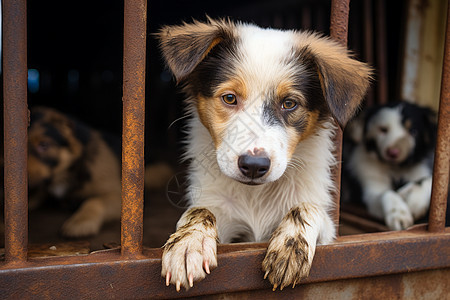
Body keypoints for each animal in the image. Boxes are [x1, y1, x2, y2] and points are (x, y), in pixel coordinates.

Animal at [156, 18, 370, 290]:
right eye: (229, 98)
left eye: (289, 103)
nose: (254, 165)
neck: (255, 196)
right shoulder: (221, 212)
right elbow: (201, 210)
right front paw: (188, 244)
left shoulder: (330, 230)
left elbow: (307, 207)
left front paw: (290, 247)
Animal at [342, 101, 438, 230]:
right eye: (383, 130)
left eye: (413, 131)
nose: (393, 153)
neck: (396, 168)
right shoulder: (371, 185)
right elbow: (385, 193)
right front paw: (399, 215)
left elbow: (430, 180)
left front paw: (414, 199)